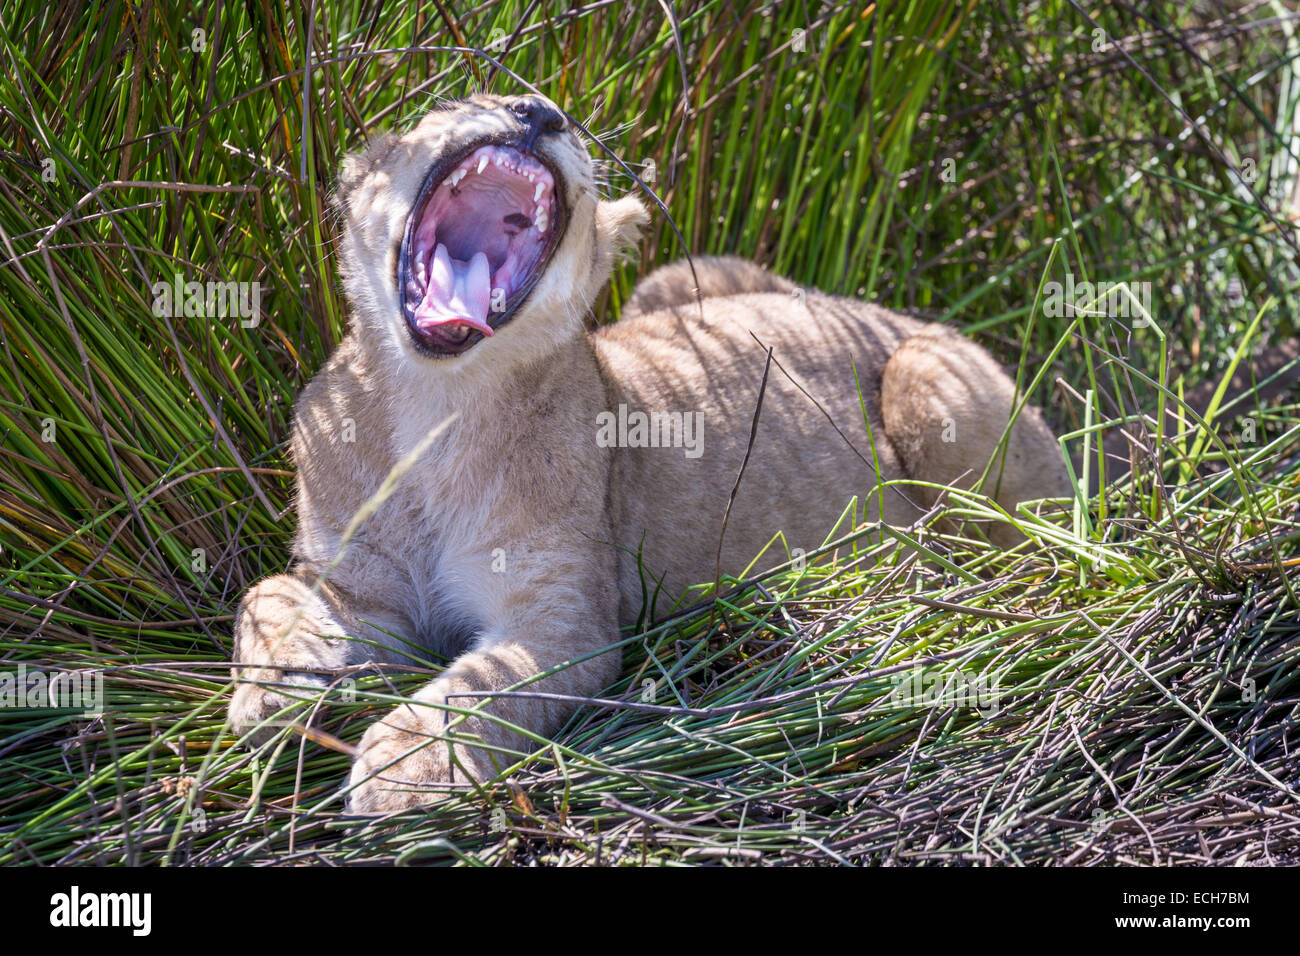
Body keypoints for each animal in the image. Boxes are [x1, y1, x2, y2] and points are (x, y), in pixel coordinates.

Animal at [229, 93, 1071, 812]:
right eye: (455, 104)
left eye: (559, 121)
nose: (539, 112)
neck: (432, 402)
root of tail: (876, 309)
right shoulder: (360, 588)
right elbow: (266, 594)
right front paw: (269, 690)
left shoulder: (567, 617)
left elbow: (480, 687)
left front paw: (404, 767)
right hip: (679, 281)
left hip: (924, 376)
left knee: (1034, 553)